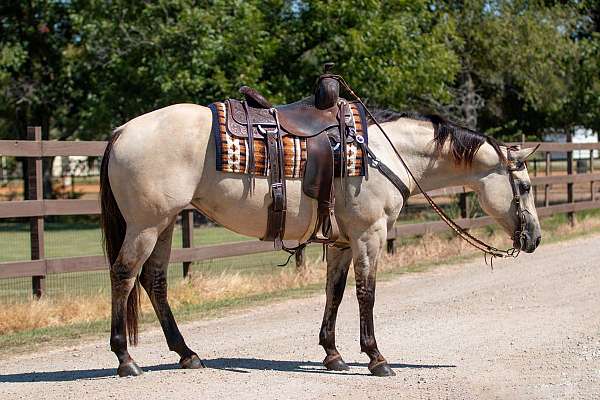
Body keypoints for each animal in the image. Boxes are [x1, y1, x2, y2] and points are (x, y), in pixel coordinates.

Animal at [101, 73, 540, 376]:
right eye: (524, 185)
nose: (534, 238)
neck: (382, 152)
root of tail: (122, 131)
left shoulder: (342, 240)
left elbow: (336, 292)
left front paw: (333, 354)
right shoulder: (368, 233)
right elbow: (366, 293)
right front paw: (376, 357)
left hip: (165, 223)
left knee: (155, 280)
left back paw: (187, 354)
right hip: (145, 224)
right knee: (124, 275)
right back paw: (125, 358)